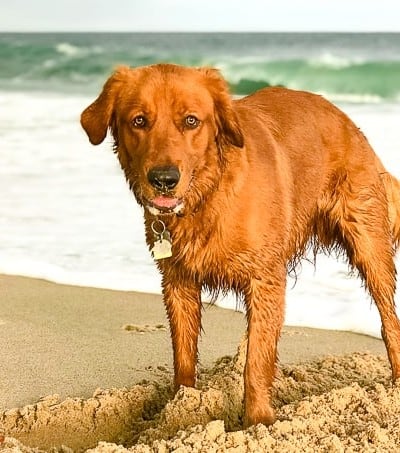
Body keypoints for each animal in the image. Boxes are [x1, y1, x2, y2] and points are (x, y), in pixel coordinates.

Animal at [81, 64, 400, 428]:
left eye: (191, 120)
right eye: (138, 121)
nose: (163, 179)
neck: (208, 195)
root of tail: (346, 119)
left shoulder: (266, 279)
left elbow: (257, 363)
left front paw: (259, 420)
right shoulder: (178, 282)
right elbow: (184, 357)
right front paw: (181, 406)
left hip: (368, 244)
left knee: (389, 319)